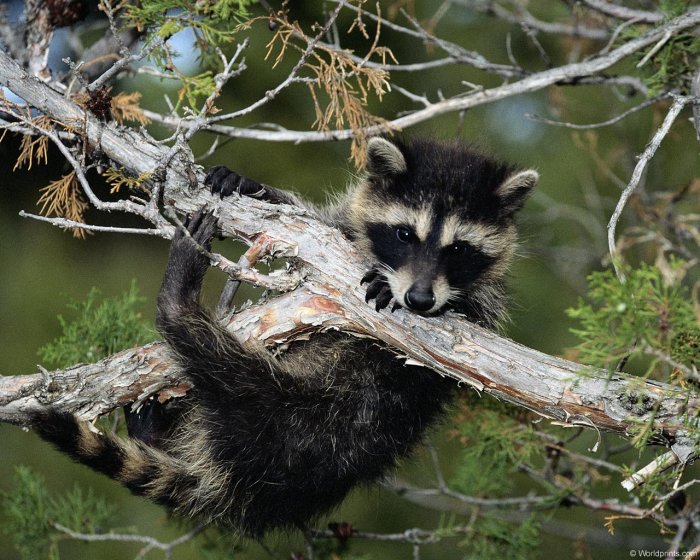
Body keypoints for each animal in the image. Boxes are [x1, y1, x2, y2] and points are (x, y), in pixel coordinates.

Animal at [30, 138, 540, 536]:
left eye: (458, 249)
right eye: (404, 234)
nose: (418, 299)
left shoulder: (478, 308)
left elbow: (462, 330)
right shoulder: (344, 231)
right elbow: (316, 224)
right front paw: (260, 189)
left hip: (308, 418)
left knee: (232, 372)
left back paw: (180, 305)